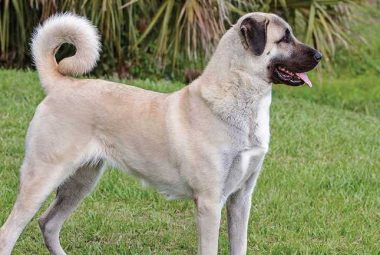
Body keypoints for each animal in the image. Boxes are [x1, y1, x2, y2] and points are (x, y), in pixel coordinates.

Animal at [0, 11, 320, 255]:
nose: (318, 56)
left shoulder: (241, 199)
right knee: (9, 233)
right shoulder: (209, 203)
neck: (240, 101)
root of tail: (60, 84)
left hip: (81, 181)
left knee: (48, 224)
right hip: (43, 177)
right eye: (285, 38)